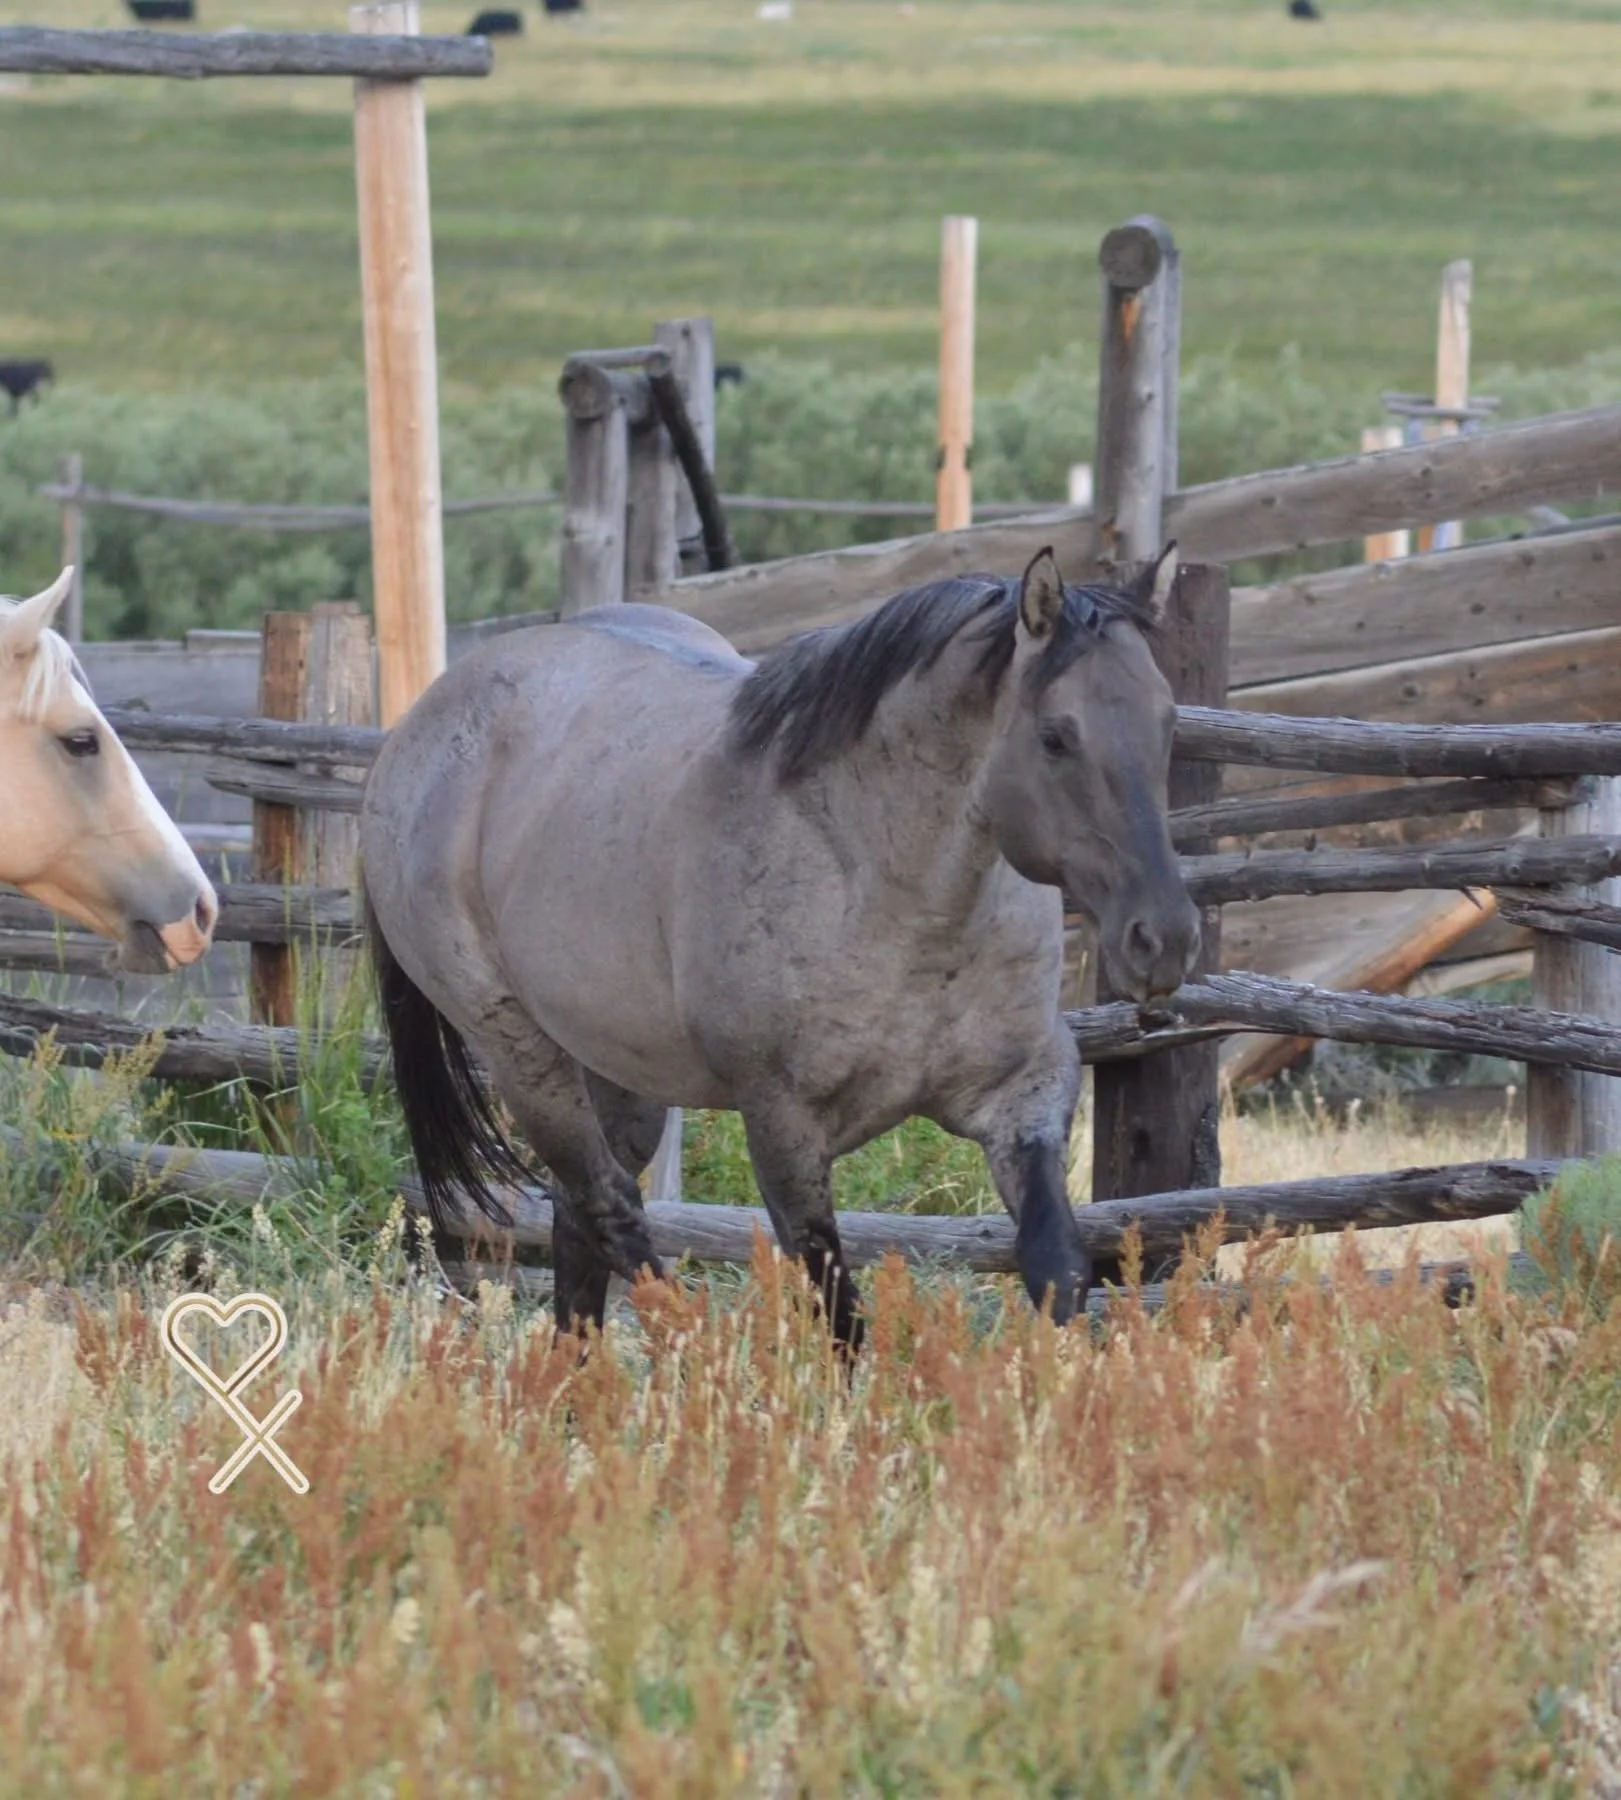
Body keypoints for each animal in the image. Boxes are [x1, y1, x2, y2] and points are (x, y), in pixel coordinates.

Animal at [361, 545, 1200, 1346]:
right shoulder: (783, 1125)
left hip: (617, 1071)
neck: (892, 892)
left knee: (578, 1225)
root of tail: (419, 731)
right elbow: (836, 1309)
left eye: (1165, 721)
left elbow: (1057, 1267)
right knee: (610, 1212)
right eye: (1056, 736)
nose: (1162, 939)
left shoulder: (1023, 1091)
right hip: (518, 1050)